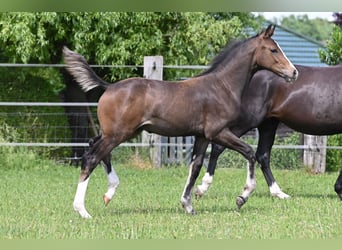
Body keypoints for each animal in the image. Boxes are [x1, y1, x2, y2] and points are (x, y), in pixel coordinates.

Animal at [62, 24, 298, 218]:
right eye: (273, 50)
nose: (293, 72)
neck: (221, 86)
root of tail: (109, 87)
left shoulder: (202, 136)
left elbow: (195, 166)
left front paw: (188, 205)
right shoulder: (218, 132)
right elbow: (249, 152)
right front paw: (242, 197)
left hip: (116, 133)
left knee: (95, 148)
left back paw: (109, 193)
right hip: (118, 133)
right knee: (91, 158)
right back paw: (82, 210)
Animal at [195, 63, 342, 200]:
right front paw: (339, 190)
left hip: (268, 124)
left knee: (262, 155)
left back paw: (278, 193)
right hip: (247, 121)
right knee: (218, 146)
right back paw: (202, 188)